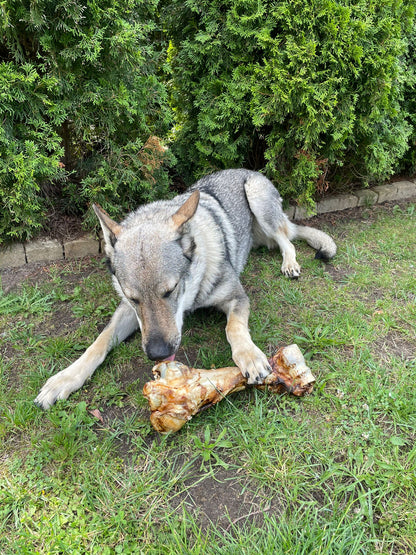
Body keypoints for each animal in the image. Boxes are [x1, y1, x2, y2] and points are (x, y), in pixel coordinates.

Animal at [34, 169, 336, 408]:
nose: (157, 353)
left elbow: (234, 328)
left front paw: (249, 356)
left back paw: (290, 263)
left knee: (288, 239)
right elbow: (99, 342)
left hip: (258, 200)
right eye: (134, 299)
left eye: (171, 290)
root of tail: (246, 170)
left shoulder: (237, 297)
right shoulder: (127, 312)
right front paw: (64, 379)